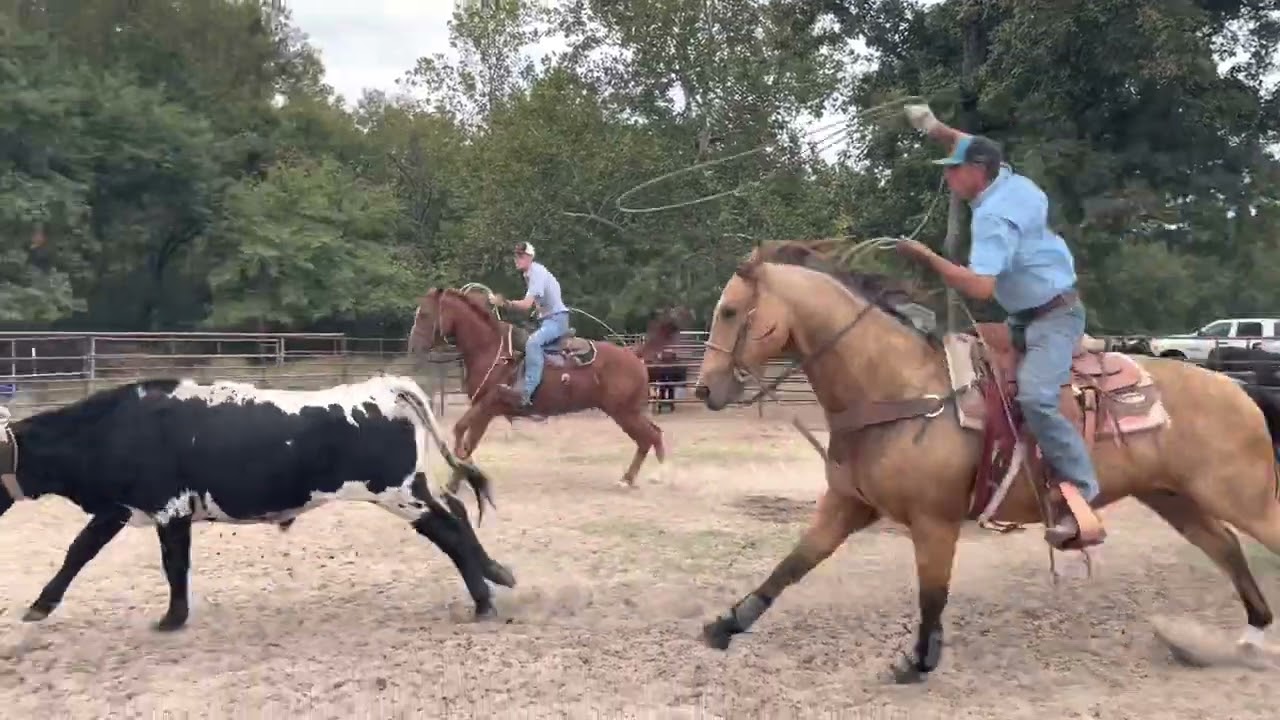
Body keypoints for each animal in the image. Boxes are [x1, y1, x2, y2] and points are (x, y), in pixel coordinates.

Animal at [408, 288, 687, 487]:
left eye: (424, 314)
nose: (413, 347)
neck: (491, 349)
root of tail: (633, 353)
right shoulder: (483, 408)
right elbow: (469, 440)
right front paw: (457, 480)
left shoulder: (487, 405)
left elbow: (462, 433)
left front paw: (455, 476)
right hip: (630, 411)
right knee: (651, 436)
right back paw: (629, 478)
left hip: (625, 413)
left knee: (650, 437)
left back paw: (658, 476)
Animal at [691, 241, 1280, 683]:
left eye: (729, 311)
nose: (703, 390)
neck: (901, 388)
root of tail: (1238, 388)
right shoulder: (847, 505)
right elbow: (794, 564)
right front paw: (726, 624)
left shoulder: (934, 520)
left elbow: (932, 592)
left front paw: (918, 661)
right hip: (1173, 497)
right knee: (1226, 548)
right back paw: (1249, 636)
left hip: (1242, 496)